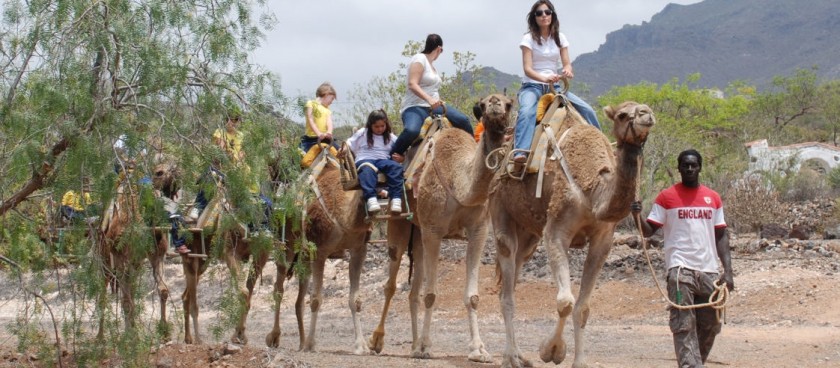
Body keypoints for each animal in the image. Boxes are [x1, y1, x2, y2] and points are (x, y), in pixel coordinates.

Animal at [96, 167, 170, 340]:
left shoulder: (156, 255)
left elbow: (163, 290)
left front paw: (164, 332)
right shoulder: (122, 257)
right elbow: (126, 300)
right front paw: (131, 336)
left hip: (129, 261)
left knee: (128, 291)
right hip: (109, 259)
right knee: (106, 292)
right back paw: (101, 337)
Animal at [370, 93, 516, 360]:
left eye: (508, 102)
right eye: (483, 104)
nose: (495, 105)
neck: (459, 181)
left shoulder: (479, 231)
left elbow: (472, 296)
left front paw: (478, 349)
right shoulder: (434, 231)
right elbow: (430, 294)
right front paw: (427, 346)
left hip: (417, 233)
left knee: (413, 289)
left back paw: (414, 345)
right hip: (400, 223)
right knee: (391, 283)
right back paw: (376, 341)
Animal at [492, 100, 656, 368]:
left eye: (646, 108)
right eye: (622, 115)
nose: (646, 114)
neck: (592, 190)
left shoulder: (603, 240)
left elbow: (583, 307)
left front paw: (578, 361)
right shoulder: (556, 231)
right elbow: (565, 302)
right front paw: (551, 351)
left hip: (528, 234)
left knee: (514, 274)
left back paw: (520, 356)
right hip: (500, 207)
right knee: (506, 285)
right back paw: (510, 358)